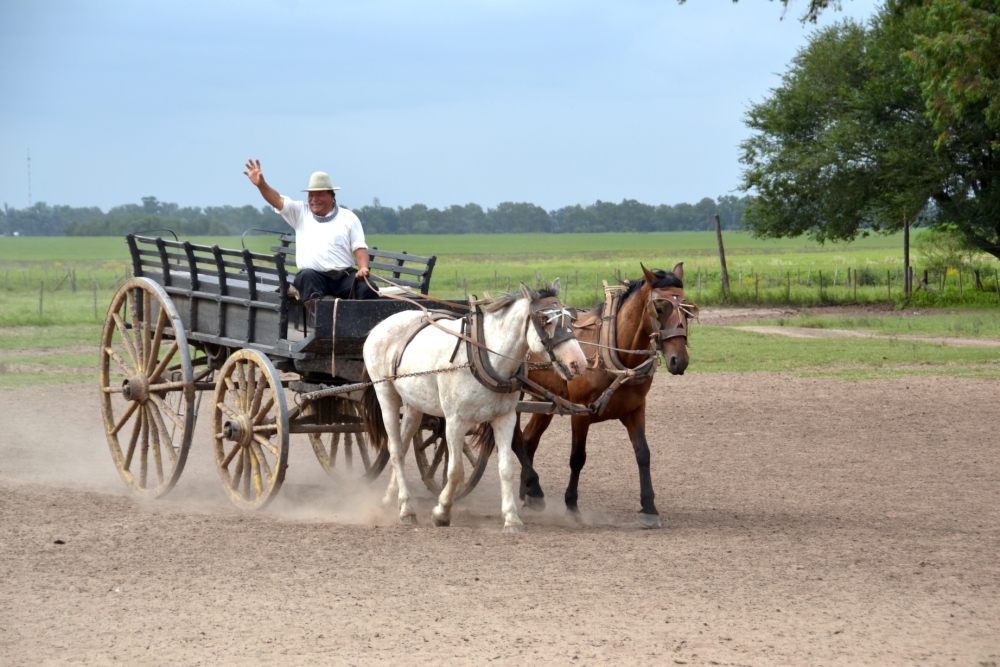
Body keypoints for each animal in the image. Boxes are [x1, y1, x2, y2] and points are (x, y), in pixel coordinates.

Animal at [366, 280, 584, 532]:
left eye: (571, 319)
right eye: (545, 320)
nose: (579, 364)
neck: (482, 355)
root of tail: (382, 324)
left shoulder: (505, 418)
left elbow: (506, 468)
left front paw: (511, 518)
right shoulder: (454, 421)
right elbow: (455, 470)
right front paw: (441, 512)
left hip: (414, 404)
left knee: (402, 443)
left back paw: (392, 498)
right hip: (386, 395)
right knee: (395, 450)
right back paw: (407, 510)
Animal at [512, 264, 692, 528]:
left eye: (688, 310)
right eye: (659, 308)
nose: (679, 360)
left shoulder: (635, 410)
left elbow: (643, 454)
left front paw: (649, 508)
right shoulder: (580, 411)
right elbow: (577, 457)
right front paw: (572, 506)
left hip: (544, 398)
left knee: (528, 440)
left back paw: (528, 494)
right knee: (515, 440)